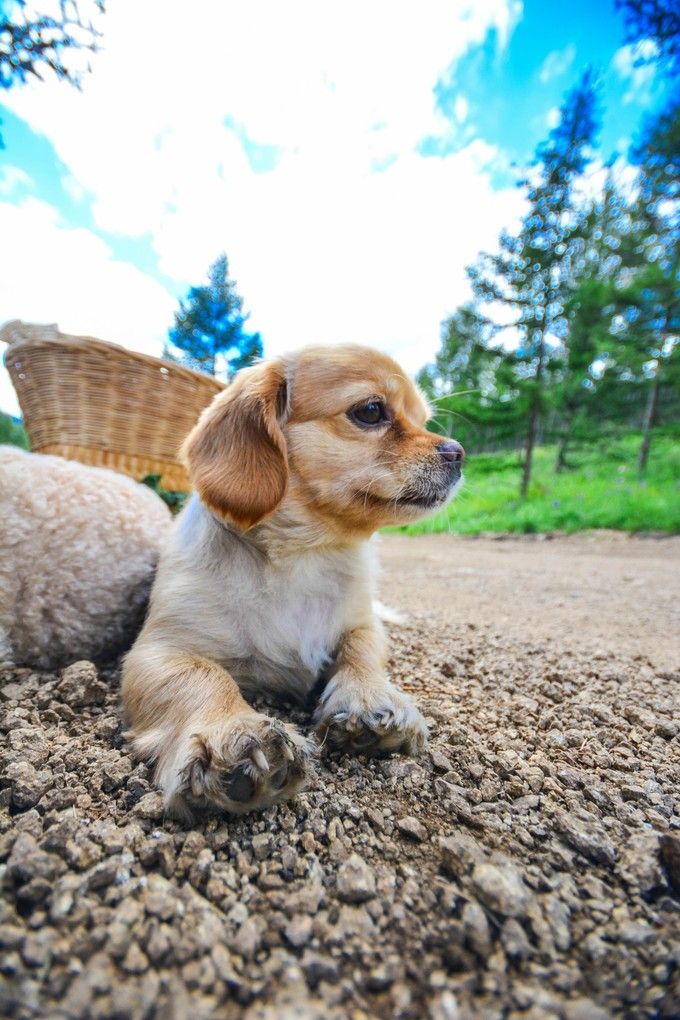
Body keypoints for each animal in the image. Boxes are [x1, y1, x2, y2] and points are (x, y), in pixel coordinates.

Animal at [120, 346, 462, 816]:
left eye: (423, 419)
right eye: (371, 411)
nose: (459, 453)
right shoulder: (158, 652)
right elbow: (204, 677)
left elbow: (361, 653)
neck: (306, 554)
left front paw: (371, 699)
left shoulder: (362, 624)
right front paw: (234, 732)